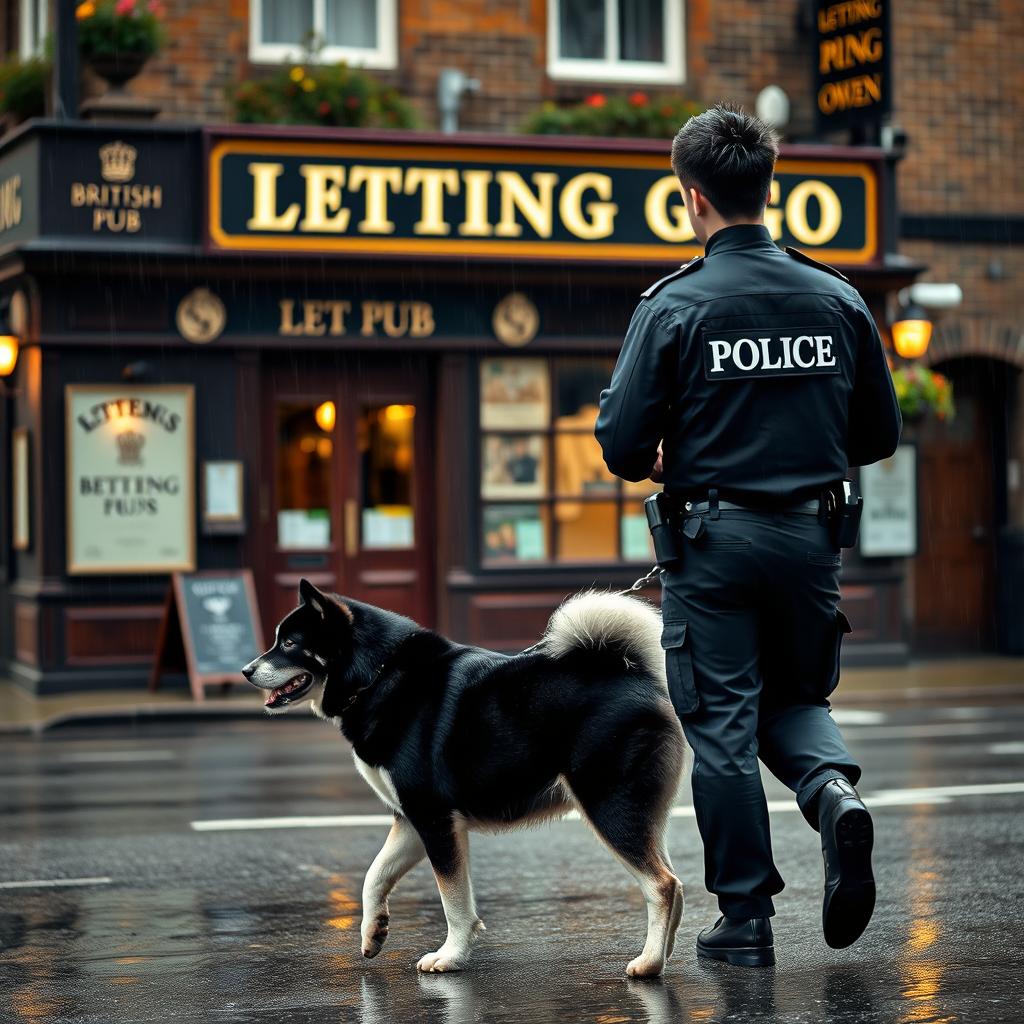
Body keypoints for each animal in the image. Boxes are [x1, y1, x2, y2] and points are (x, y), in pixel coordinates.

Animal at [242, 581, 684, 970]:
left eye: (289, 644)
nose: (246, 670)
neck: (378, 674)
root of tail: (631, 672)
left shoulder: (435, 821)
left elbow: (453, 902)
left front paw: (450, 956)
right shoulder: (411, 820)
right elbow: (374, 875)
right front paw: (373, 930)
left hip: (610, 808)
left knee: (661, 885)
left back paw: (647, 963)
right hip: (641, 815)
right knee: (675, 884)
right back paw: (662, 956)